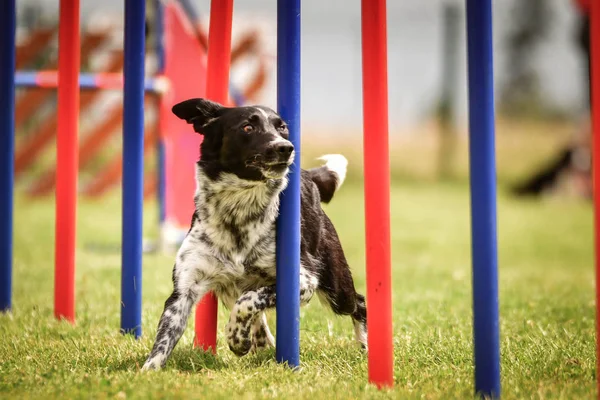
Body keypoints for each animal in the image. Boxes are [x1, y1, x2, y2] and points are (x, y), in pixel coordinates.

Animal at [142, 98, 366, 370]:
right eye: (247, 127)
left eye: (282, 128)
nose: (286, 148)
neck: (238, 212)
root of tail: (308, 176)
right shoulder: (185, 289)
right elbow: (164, 337)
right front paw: (148, 371)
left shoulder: (304, 281)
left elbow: (248, 301)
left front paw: (235, 338)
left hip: (335, 285)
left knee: (359, 302)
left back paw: (366, 347)